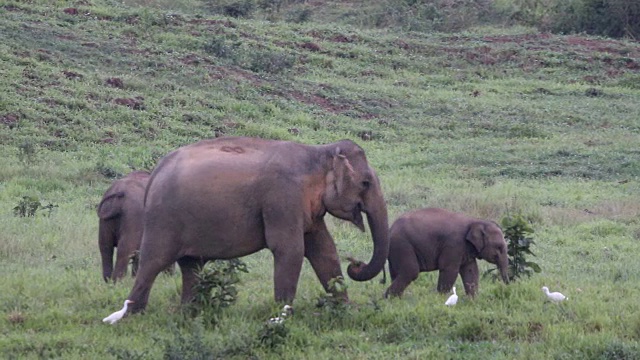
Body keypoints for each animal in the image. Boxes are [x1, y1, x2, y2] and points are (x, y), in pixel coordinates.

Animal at [123, 136, 388, 314]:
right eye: (365, 183)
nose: (355, 263)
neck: (320, 151)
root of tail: (155, 172)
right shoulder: (282, 197)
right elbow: (290, 250)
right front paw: (282, 314)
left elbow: (324, 250)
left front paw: (345, 310)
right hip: (163, 220)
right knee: (153, 262)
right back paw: (134, 315)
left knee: (192, 267)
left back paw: (190, 313)